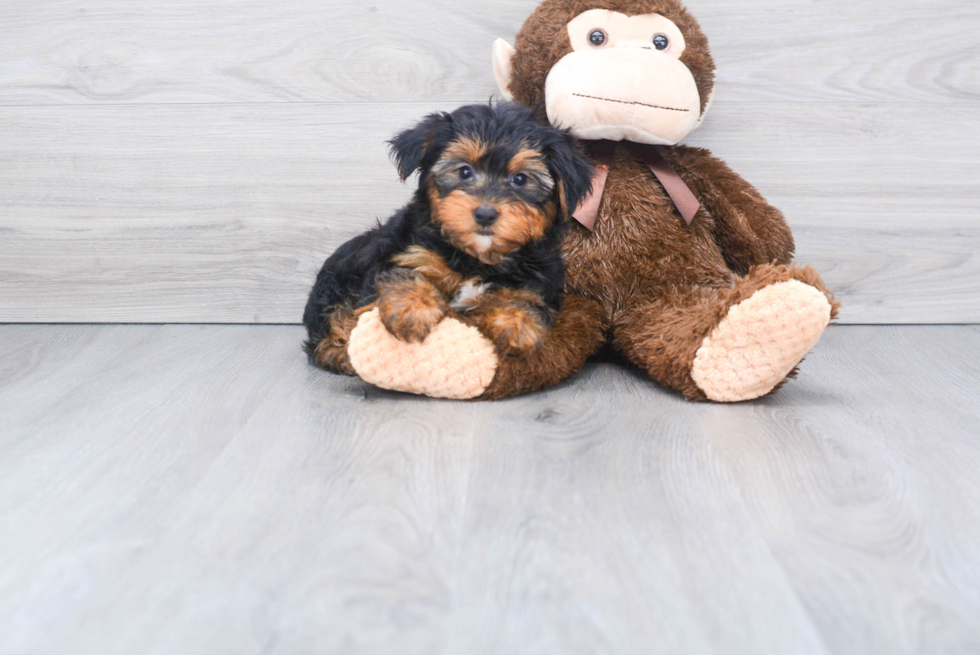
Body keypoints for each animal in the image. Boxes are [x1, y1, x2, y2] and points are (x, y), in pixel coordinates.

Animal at [300, 102, 588, 374]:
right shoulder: (408, 252)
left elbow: (526, 300)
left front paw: (517, 324)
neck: (477, 258)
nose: (485, 214)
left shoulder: (538, 282)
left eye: (520, 179)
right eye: (464, 172)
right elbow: (403, 274)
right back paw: (339, 351)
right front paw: (412, 309)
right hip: (337, 279)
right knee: (332, 320)